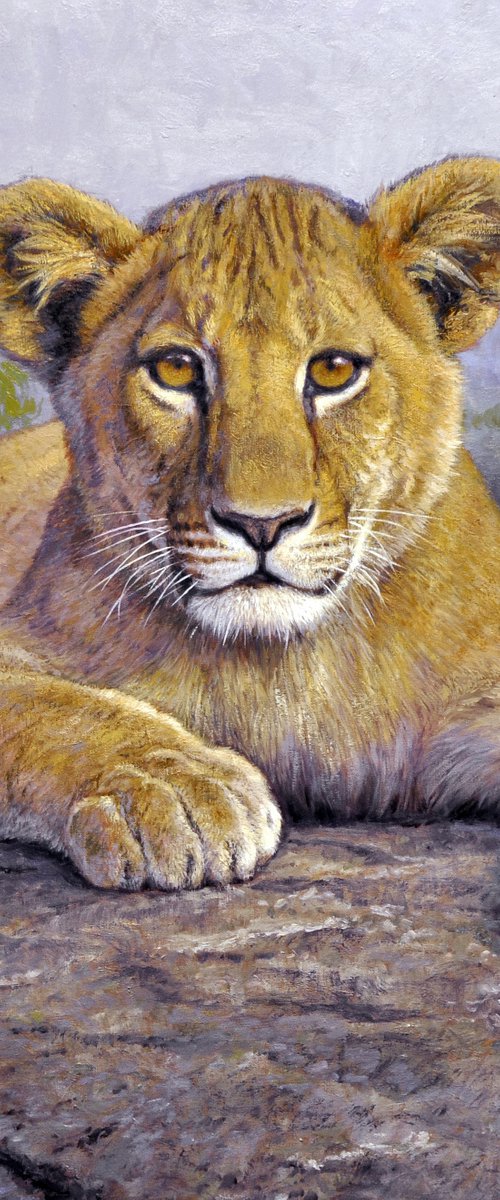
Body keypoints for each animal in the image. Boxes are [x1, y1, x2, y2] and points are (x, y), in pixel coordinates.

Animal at [0, 156, 498, 890]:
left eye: (334, 370)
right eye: (176, 369)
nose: (261, 525)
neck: (283, 671)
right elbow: (56, 707)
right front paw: (176, 791)